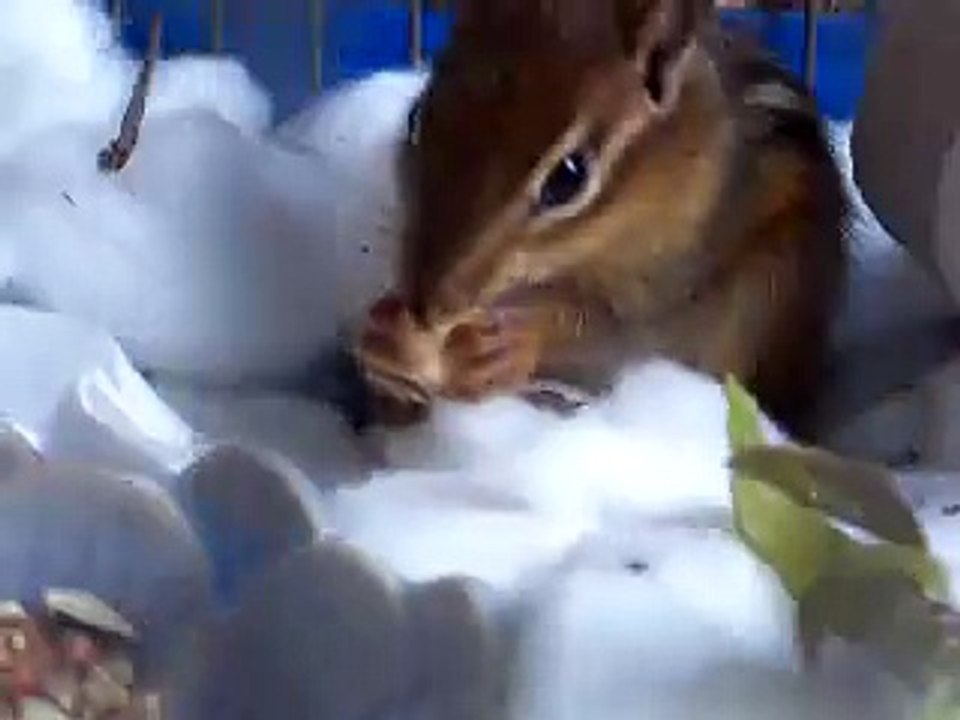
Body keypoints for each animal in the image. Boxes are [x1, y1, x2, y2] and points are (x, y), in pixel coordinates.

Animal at [354, 0, 849, 439]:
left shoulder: (674, 286)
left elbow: (614, 336)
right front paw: (383, 344)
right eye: (417, 118)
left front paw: (509, 346)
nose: (426, 305)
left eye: (568, 179)